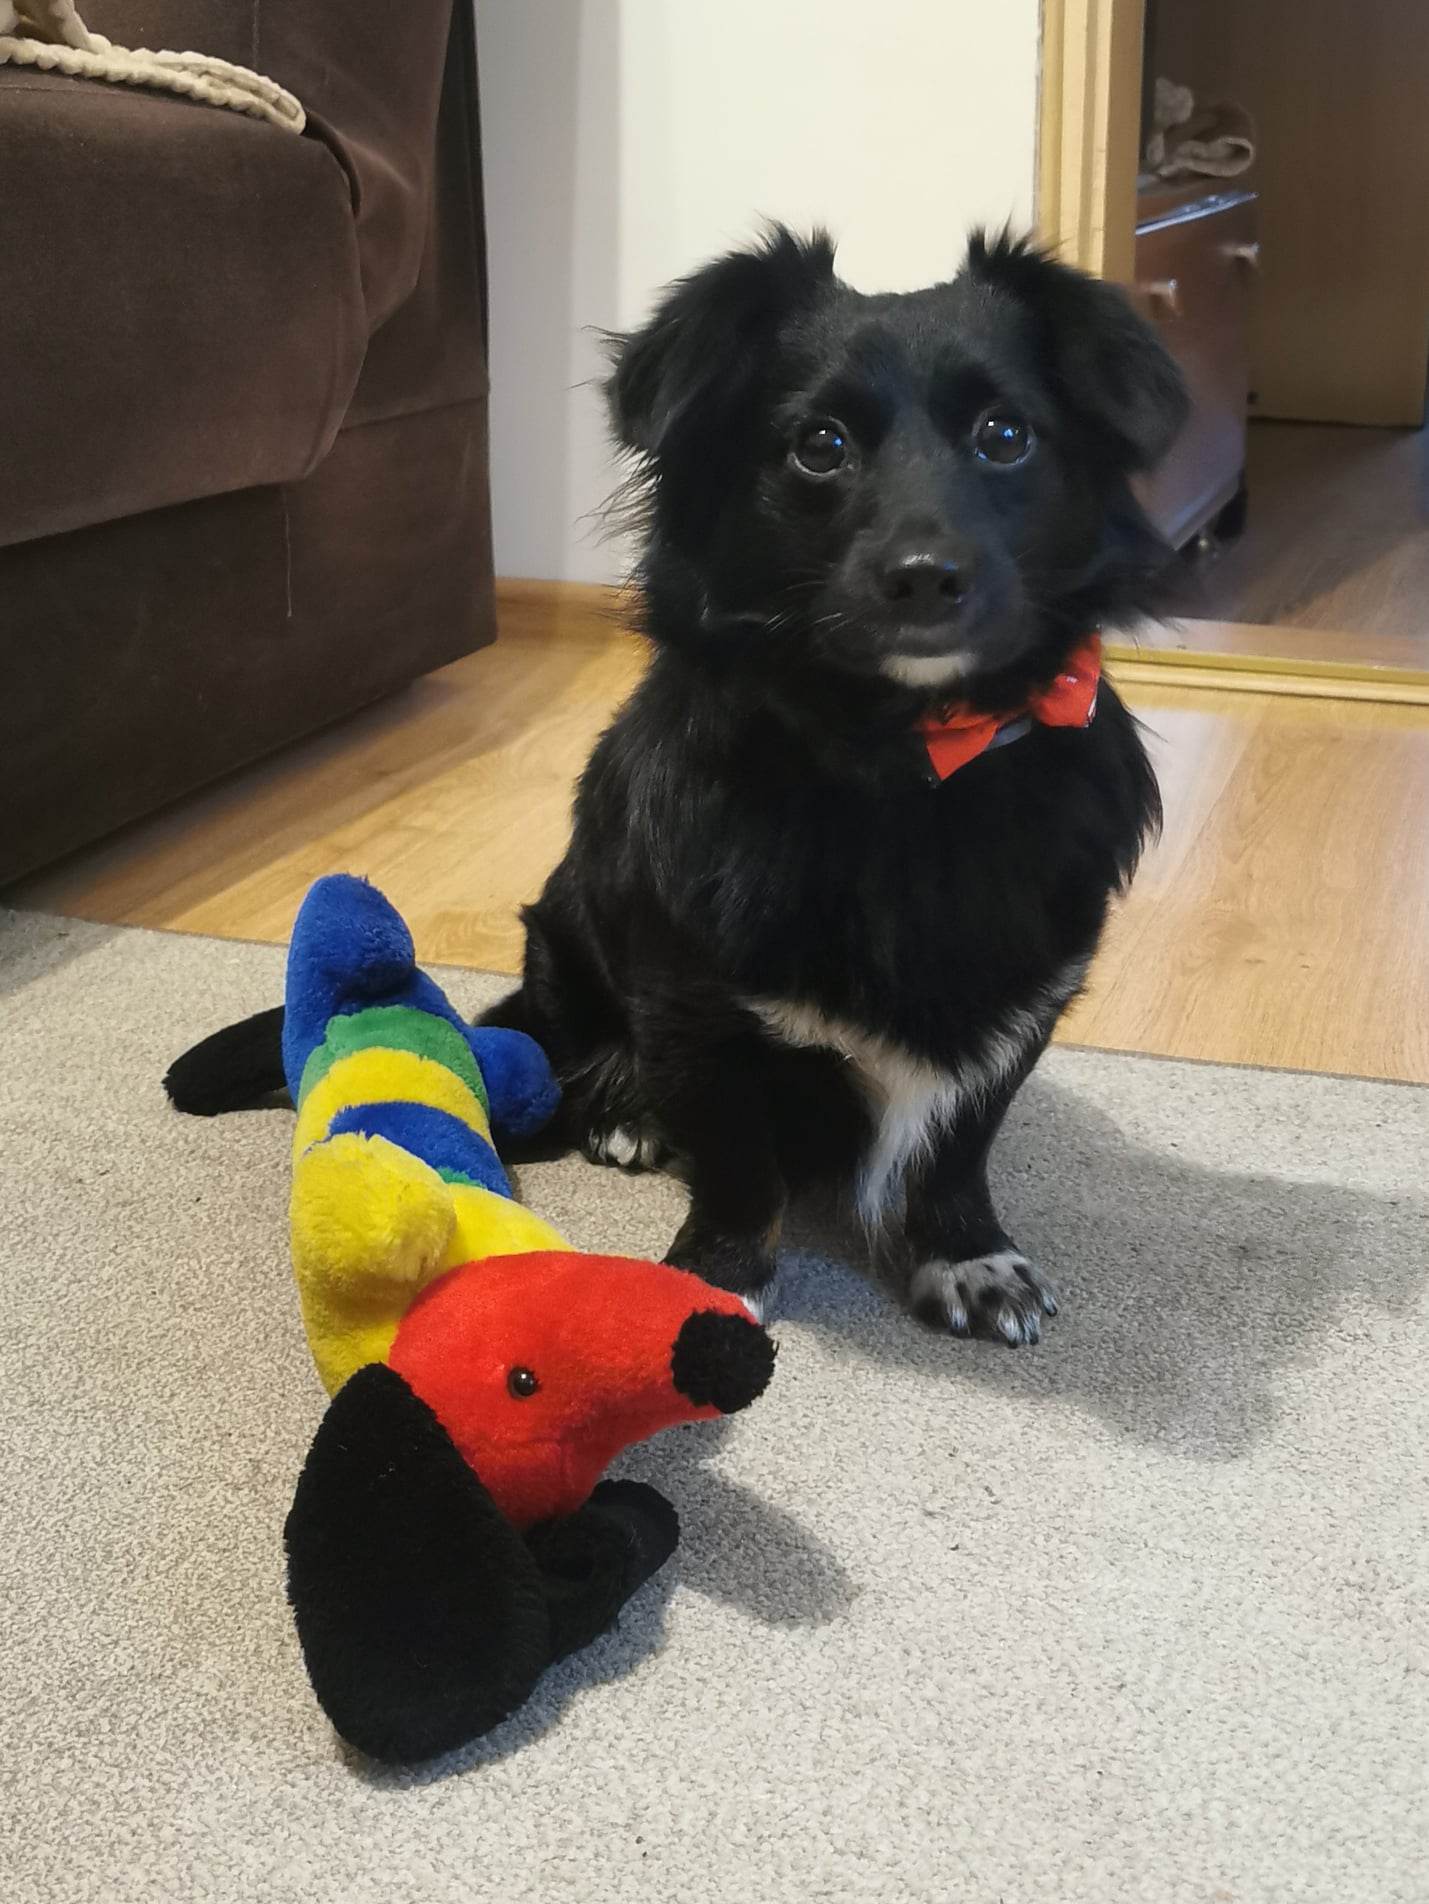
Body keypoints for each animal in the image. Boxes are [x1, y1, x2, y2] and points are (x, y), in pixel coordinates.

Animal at [167, 228, 1185, 1347]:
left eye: (1005, 436)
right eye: (818, 445)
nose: (925, 575)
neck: (903, 761)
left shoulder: (1022, 1005)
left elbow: (957, 1145)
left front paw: (965, 1253)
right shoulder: (693, 1005)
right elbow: (741, 1165)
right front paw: (717, 1277)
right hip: (566, 941)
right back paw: (623, 1113)